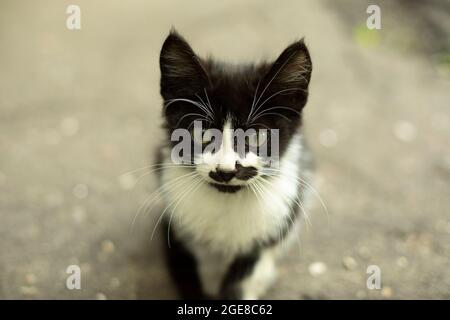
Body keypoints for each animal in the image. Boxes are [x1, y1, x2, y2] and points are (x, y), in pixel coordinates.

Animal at [156, 30, 314, 300]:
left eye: (256, 137)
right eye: (203, 133)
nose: (225, 171)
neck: (227, 201)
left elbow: (243, 274)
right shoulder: (173, 221)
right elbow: (187, 271)